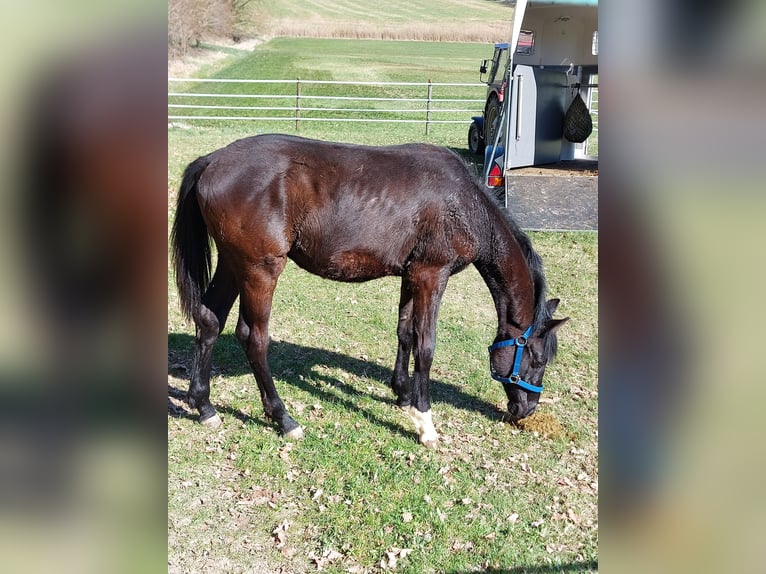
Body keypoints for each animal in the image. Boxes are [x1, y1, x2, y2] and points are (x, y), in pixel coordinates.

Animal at [171, 134, 568, 447]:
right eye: (537, 359)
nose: (526, 409)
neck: (464, 203)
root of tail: (213, 160)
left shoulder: (411, 275)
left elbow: (406, 333)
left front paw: (403, 395)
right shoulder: (432, 275)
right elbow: (426, 345)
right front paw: (425, 422)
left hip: (233, 263)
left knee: (210, 320)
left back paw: (204, 406)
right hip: (259, 269)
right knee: (253, 337)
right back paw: (283, 419)